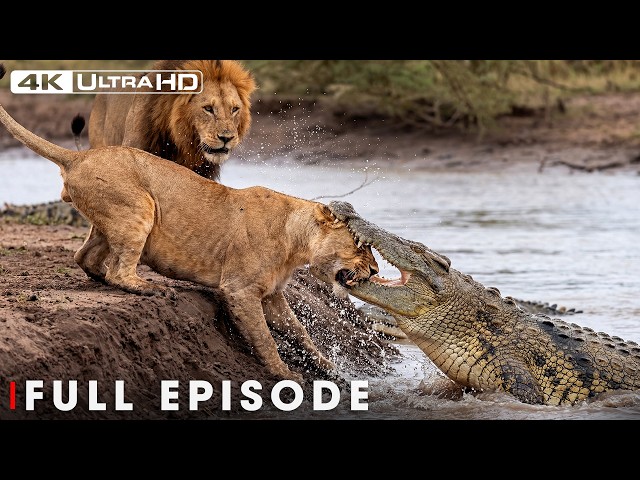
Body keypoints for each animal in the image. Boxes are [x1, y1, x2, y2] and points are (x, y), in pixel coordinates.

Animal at [0, 84, 379, 382]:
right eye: (361, 246)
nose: (376, 271)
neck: (296, 239)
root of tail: (79, 157)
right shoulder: (240, 290)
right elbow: (265, 338)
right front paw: (285, 375)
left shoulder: (271, 294)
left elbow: (300, 331)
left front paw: (328, 368)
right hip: (140, 207)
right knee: (118, 271)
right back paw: (149, 288)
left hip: (111, 219)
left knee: (86, 257)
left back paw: (99, 275)